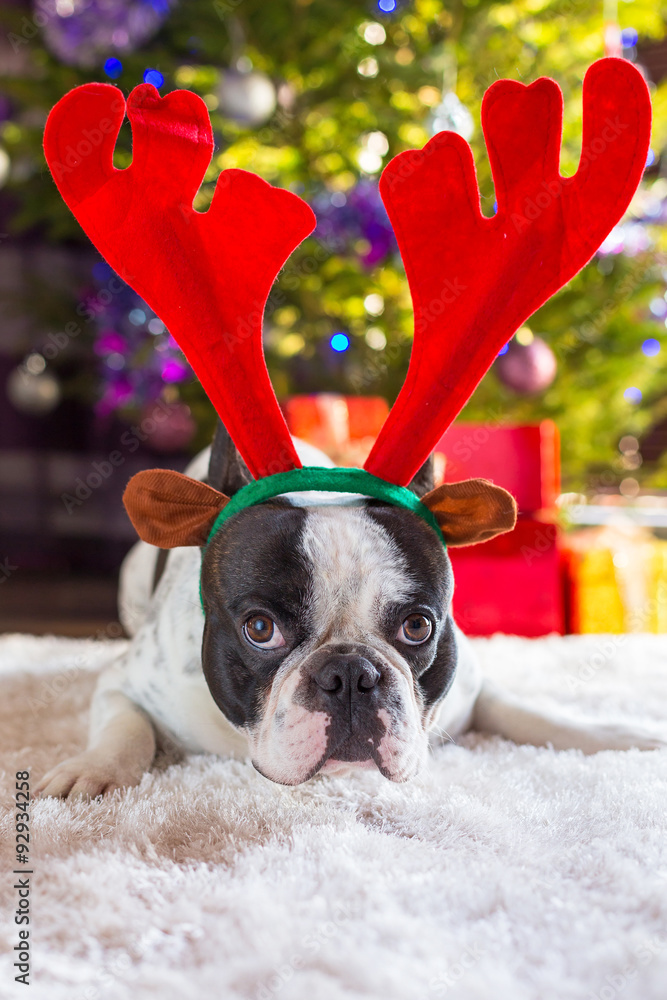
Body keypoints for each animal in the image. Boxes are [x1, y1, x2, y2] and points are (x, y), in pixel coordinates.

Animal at [37, 422, 667, 796]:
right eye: (259, 629)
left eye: (418, 626)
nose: (350, 674)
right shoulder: (125, 684)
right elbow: (126, 731)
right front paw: (91, 773)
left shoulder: (472, 684)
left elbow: (532, 715)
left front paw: (618, 736)